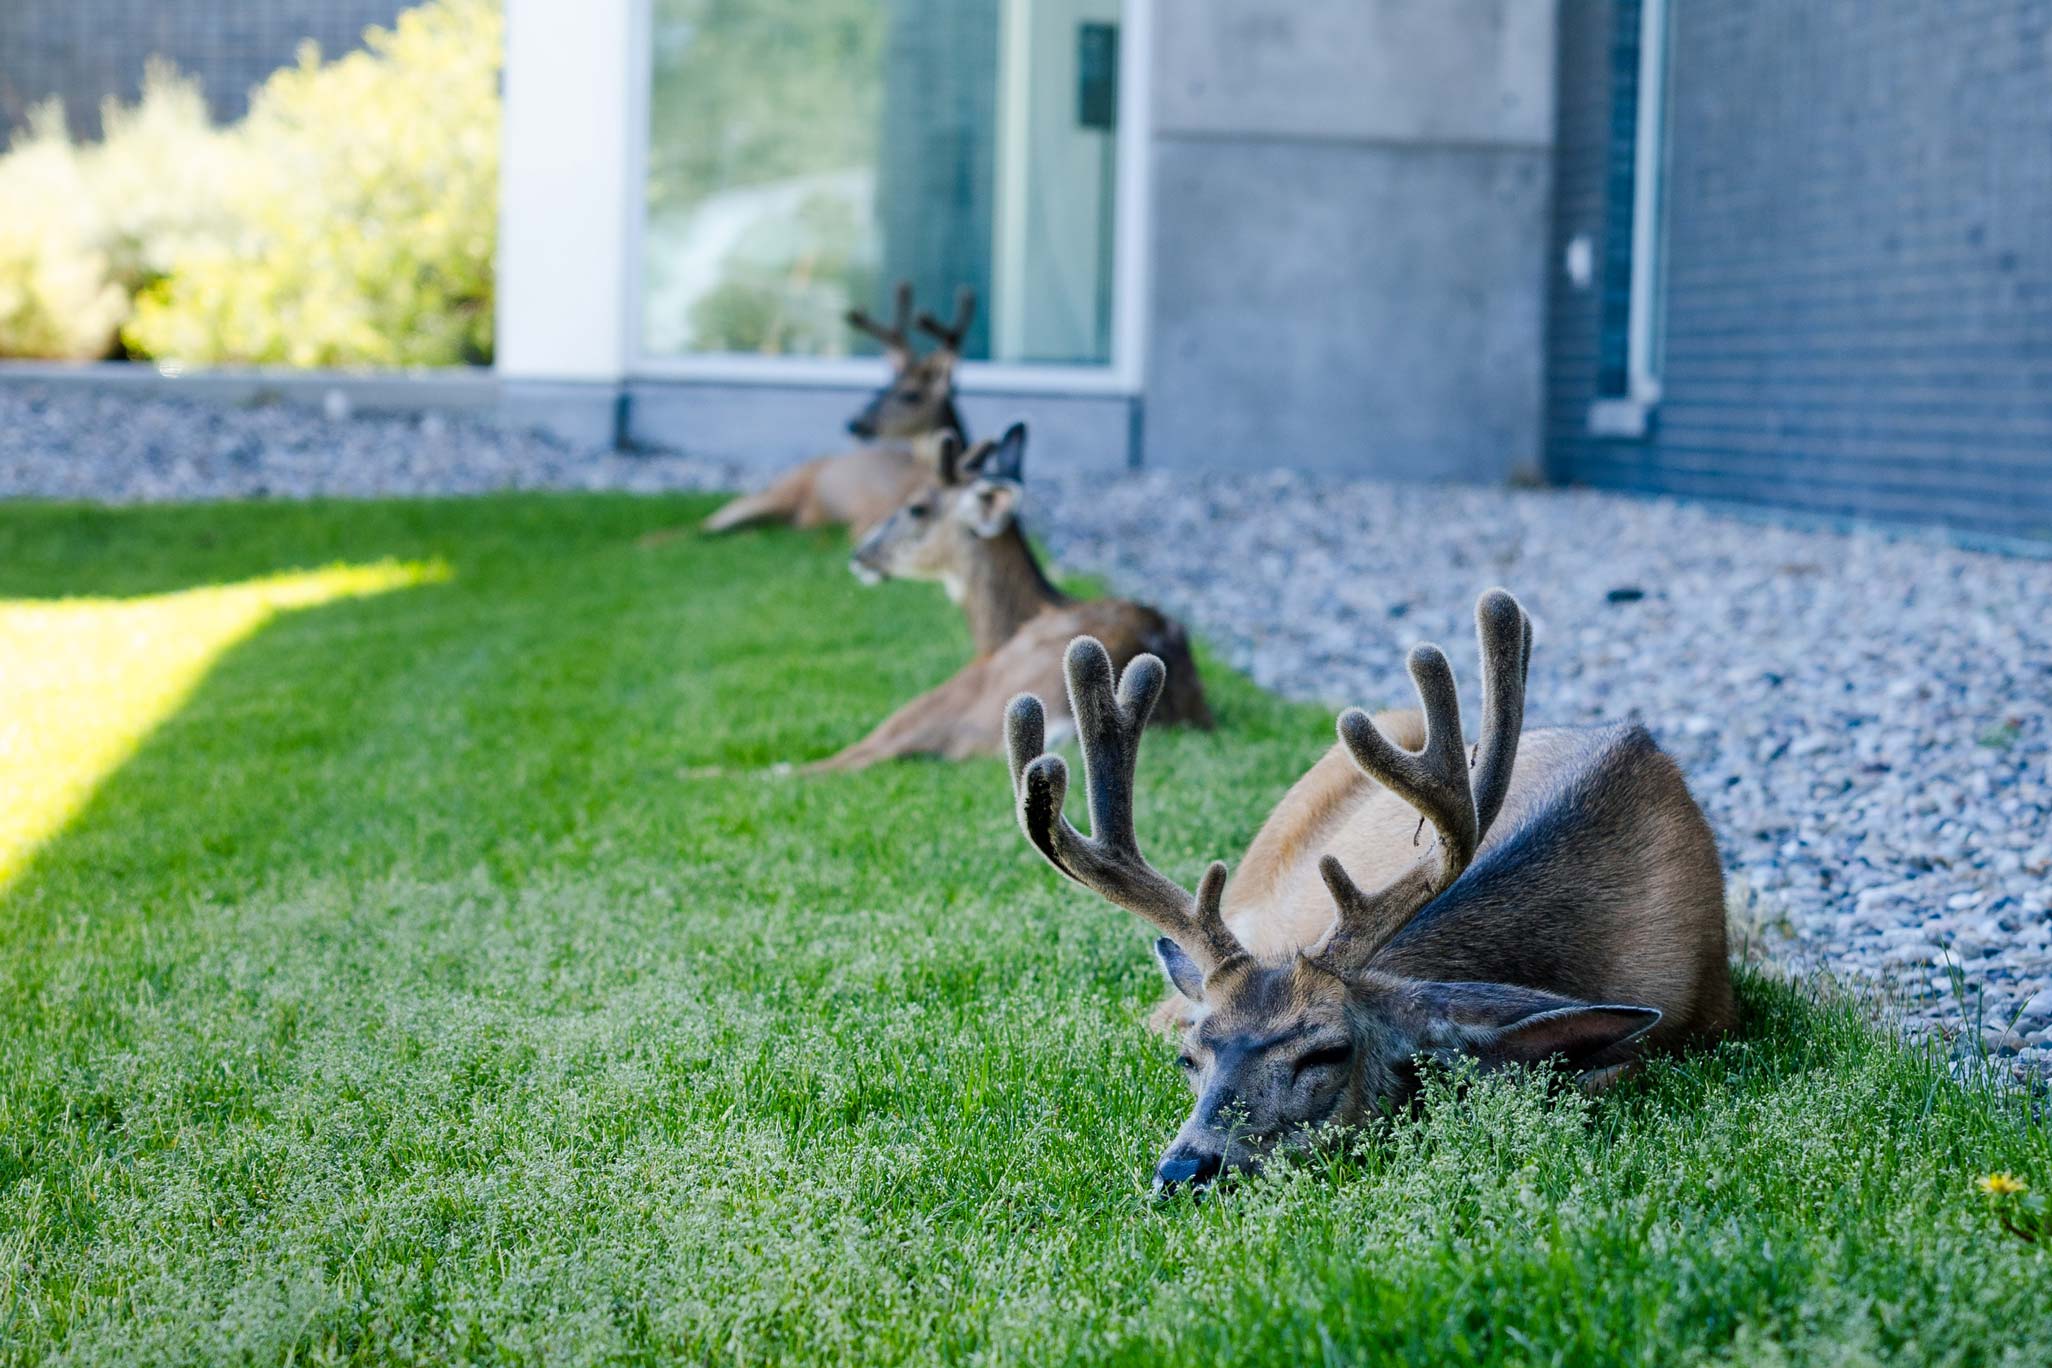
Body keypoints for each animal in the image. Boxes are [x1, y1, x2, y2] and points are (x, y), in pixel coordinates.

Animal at [699, 284, 976, 538]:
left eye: (910, 395)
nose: (854, 423)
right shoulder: (867, 517)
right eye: (882, 388)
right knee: (711, 523)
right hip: (777, 492)